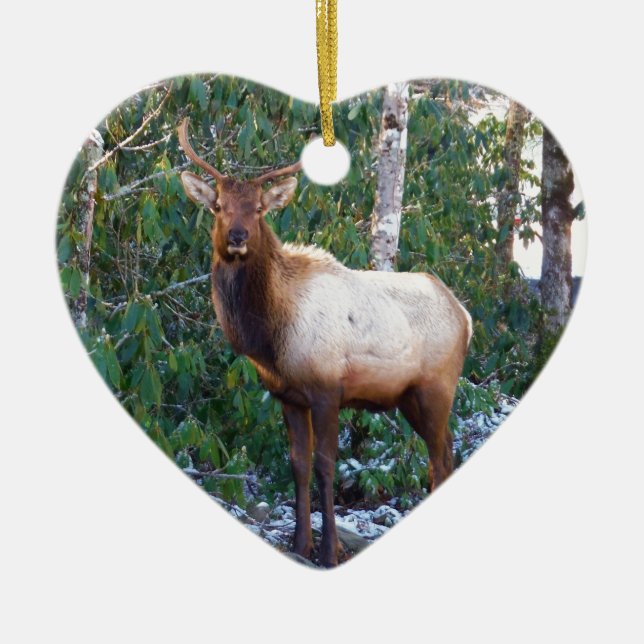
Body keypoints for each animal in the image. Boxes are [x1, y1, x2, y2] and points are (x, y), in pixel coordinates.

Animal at [177, 118, 472, 567]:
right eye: (218, 206)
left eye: (259, 208)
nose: (238, 236)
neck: (269, 339)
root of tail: (465, 316)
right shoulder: (288, 395)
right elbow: (298, 465)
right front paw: (301, 544)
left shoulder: (327, 389)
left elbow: (326, 465)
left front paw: (329, 551)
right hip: (410, 398)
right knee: (448, 453)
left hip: (436, 387)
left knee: (439, 459)